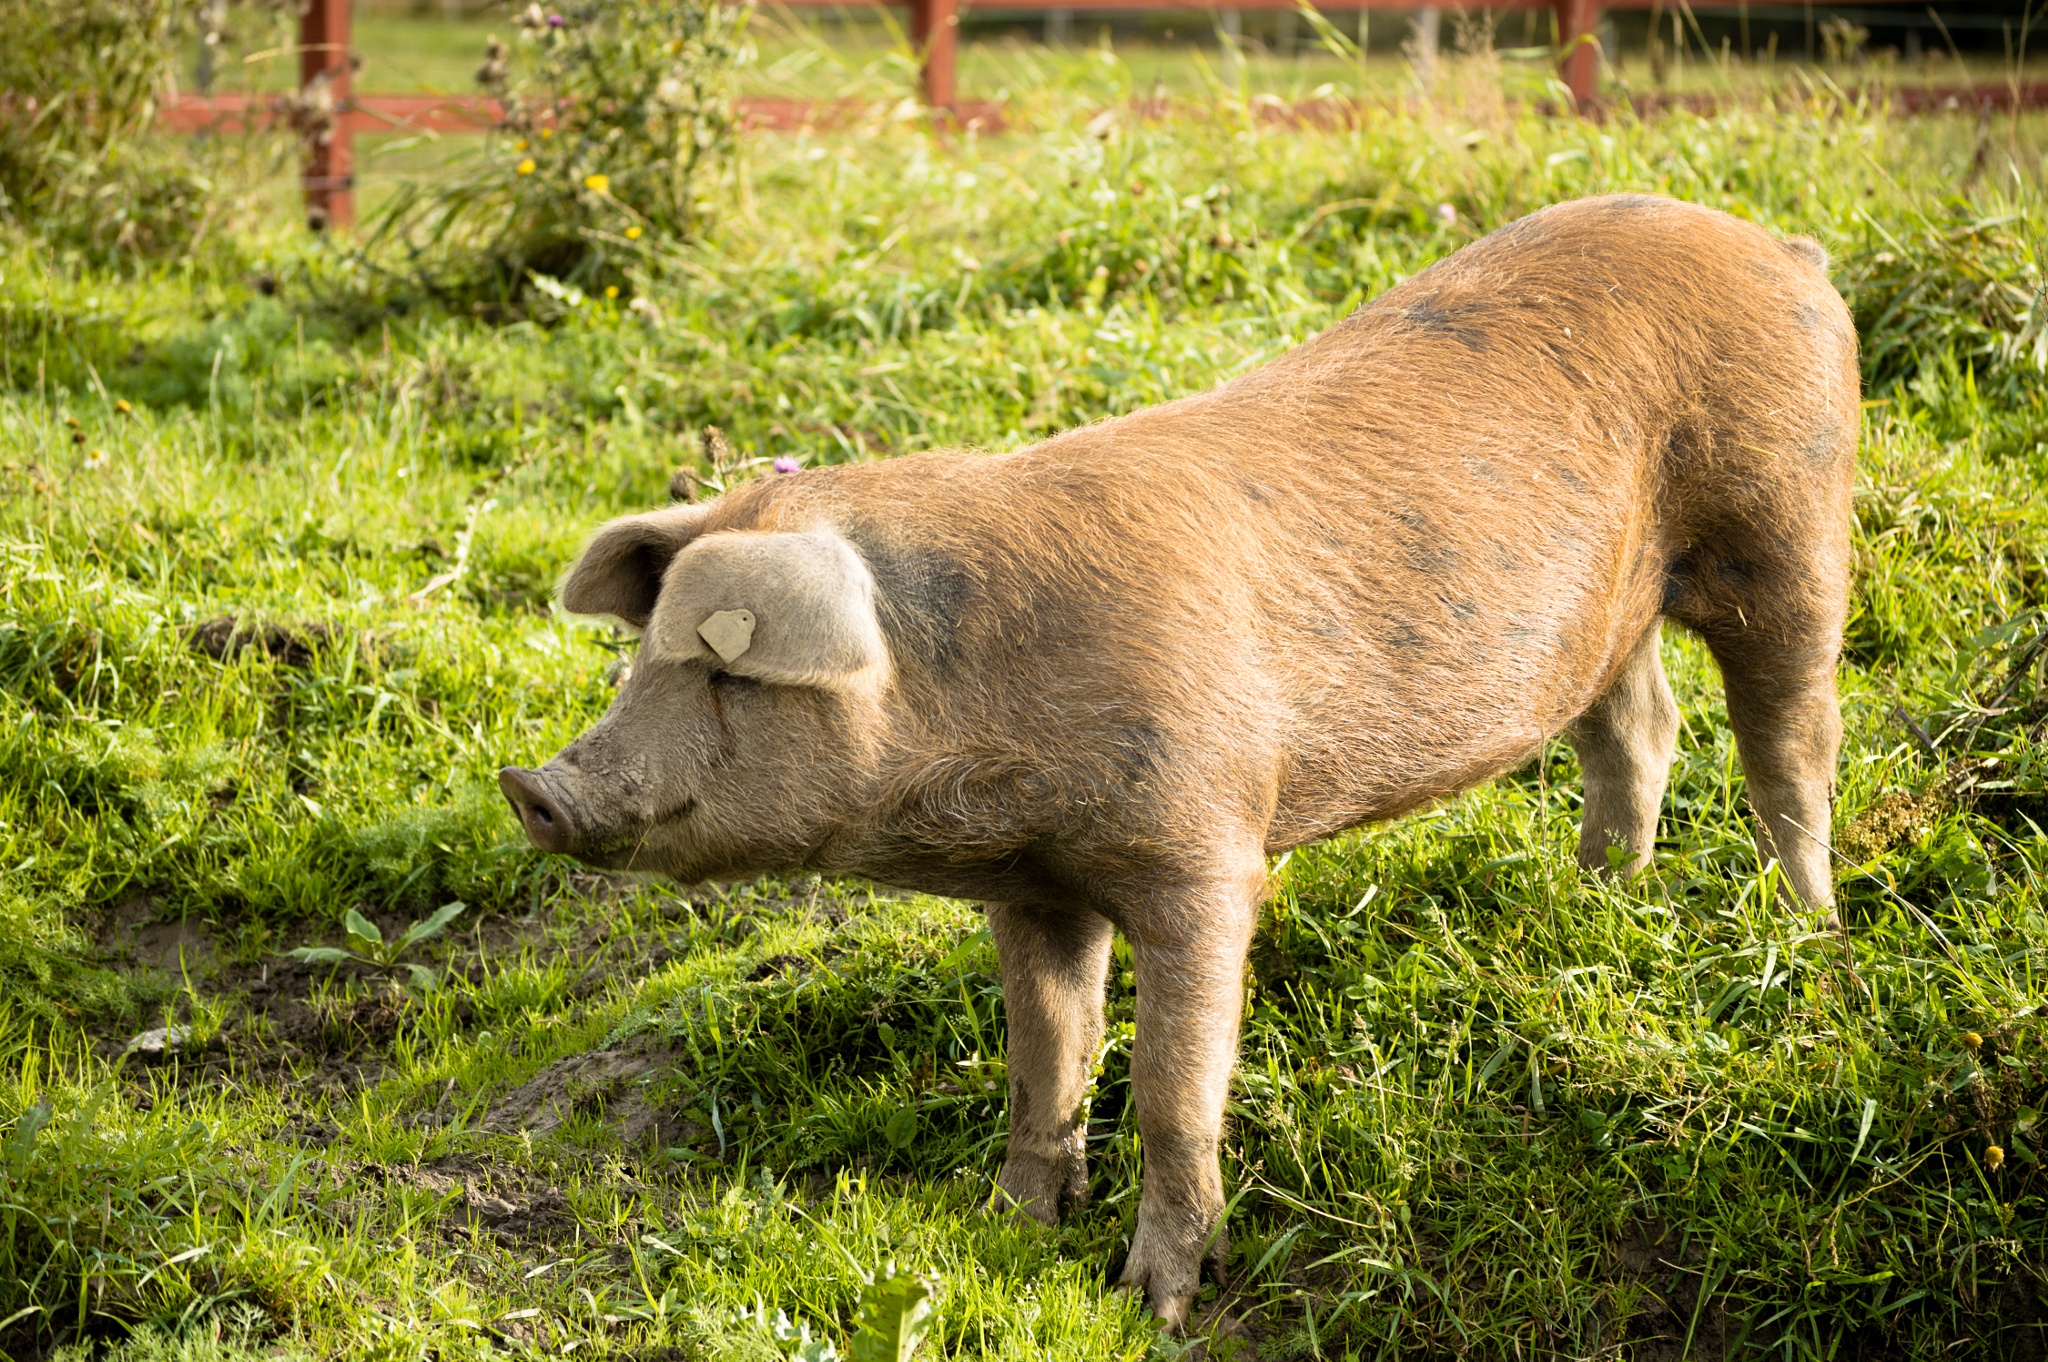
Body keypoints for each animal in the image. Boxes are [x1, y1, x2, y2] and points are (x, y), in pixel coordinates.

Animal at [500, 193, 1856, 1328]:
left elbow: (1166, 1077)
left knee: (1788, 747)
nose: (533, 786)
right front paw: (1012, 1226)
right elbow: (1044, 1054)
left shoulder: (1204, 854)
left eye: (728, 667)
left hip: (1786, 521)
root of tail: (1778, 248)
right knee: (1637, 726)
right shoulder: (1034, 888)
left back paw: (1803, 935)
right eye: (644, 659)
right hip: (1609, 605)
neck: (981, 742)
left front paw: (1151, 1303)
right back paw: (1599, 900)